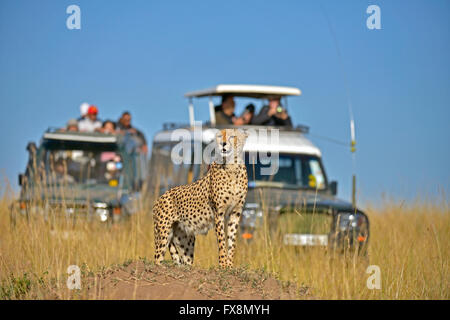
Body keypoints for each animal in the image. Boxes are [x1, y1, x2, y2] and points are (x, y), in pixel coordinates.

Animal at [153, 128, 248, 268]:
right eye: (219, 136)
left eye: (232, 136)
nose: (223, 144)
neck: (232, 166)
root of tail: (159, 198)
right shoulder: (218, 213)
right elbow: (222, 240)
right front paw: (223, 265)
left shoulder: (236, 212)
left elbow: (232, 240)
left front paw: (230, 265)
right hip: (163, 233)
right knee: (157, 258)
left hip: (185, 240)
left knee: (185, 260)